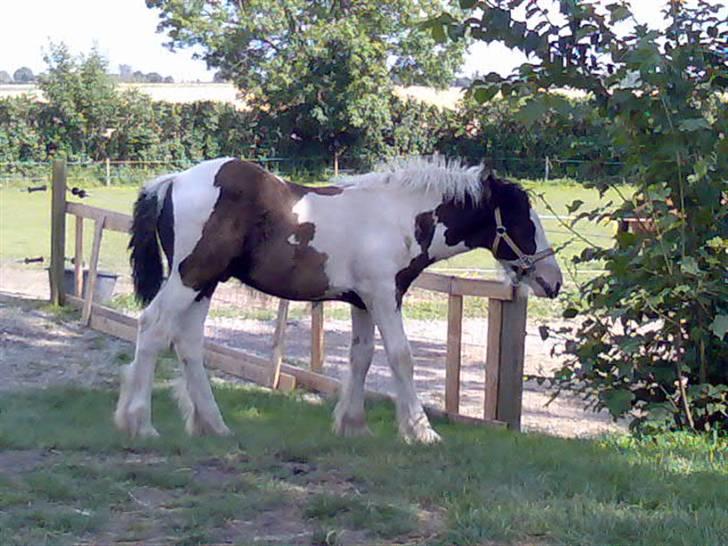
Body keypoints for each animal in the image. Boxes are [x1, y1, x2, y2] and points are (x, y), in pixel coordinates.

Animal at [115, 156, 564, 442]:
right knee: (153, 328)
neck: (399, 217)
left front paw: (353, 424)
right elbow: (400, 356)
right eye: (522, 220)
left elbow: (361, 356)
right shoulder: (384, 295)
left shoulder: (362, 301)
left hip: (205, 283)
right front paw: (421, 430)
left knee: (189, 342)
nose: (553, 281)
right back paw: (139, 423)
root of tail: (172, 181)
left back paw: (213, 425)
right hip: (189, 277)